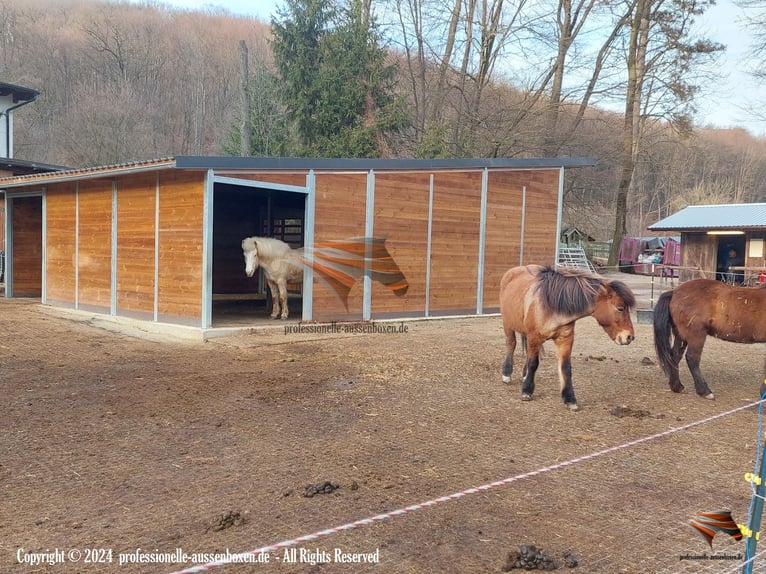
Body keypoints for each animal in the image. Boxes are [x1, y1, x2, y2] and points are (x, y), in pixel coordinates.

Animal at [500, 266, 640, 410]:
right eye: (620, 308)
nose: (629, 337)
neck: (552, 306)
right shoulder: (534, 337)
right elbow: (533, 363)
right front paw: (527, 391)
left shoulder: (565, 340)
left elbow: (565, 368)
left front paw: (570, 399)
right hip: (508, 325)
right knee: (511, 344)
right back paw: (507, 374)